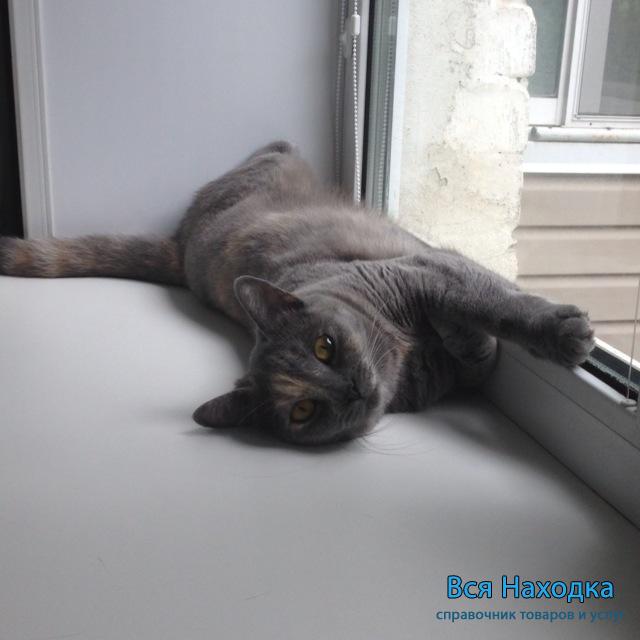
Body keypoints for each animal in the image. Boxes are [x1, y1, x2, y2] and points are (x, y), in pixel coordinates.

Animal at [0, 141, 594, 444]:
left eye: (323, 346)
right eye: (304, 411)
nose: (352, 390)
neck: (406, 358)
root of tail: (180, 242)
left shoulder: (426, 270)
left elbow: (495, 302)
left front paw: (561, 334)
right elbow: (479, 352)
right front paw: (487, 340)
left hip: (271, 166)